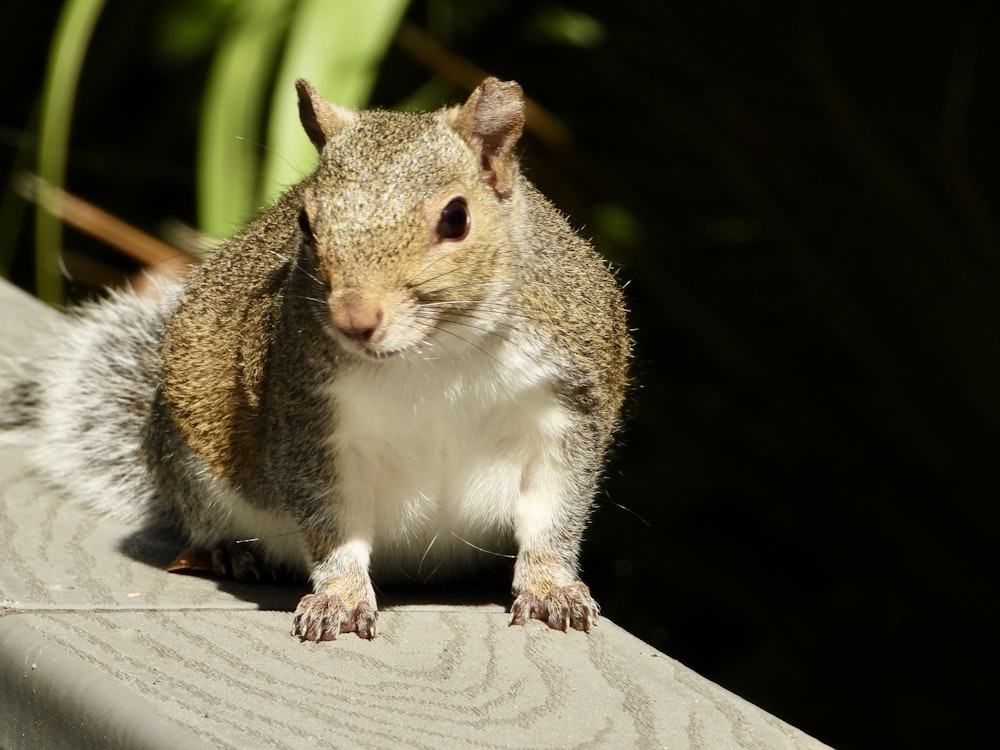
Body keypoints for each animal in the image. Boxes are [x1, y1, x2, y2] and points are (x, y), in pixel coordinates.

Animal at [5, 76, 632, 644]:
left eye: (456, 217)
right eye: (304, 222)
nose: (355, 318)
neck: (433, 350)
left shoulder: (566, 408)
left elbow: (554, 512)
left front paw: (551, 587)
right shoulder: (308, 422)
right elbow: (331, 525)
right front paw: (341, 597)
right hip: (191, 460)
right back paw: (228, 550)